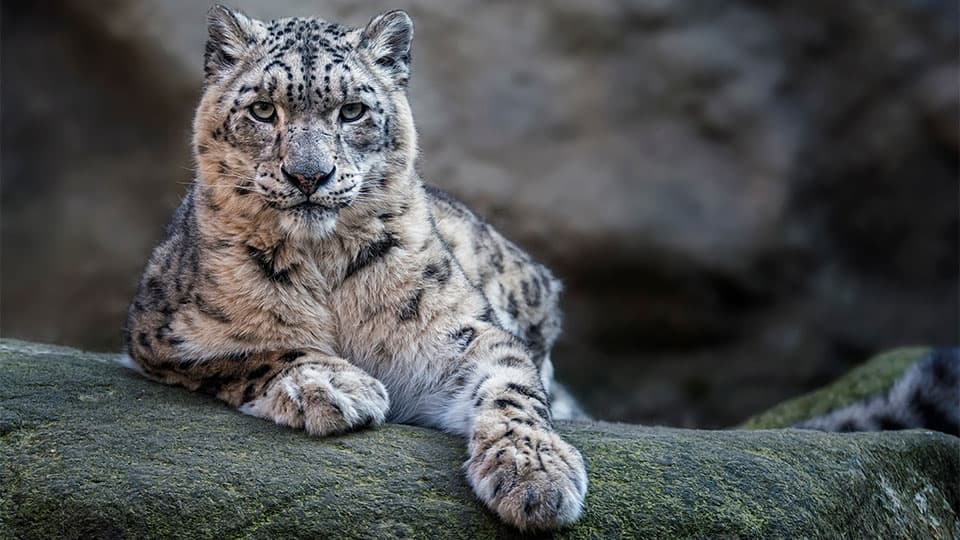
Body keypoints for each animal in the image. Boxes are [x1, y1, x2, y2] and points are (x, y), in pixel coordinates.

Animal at [122, 5, 587, 531]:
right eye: (262, 109)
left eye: (351, 111)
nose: (308, 175)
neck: (323, 264)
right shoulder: (166, 333)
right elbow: (253, 352)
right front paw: (334, 385)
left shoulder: (457, 331)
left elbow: (512, 386)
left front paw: (535, 474)